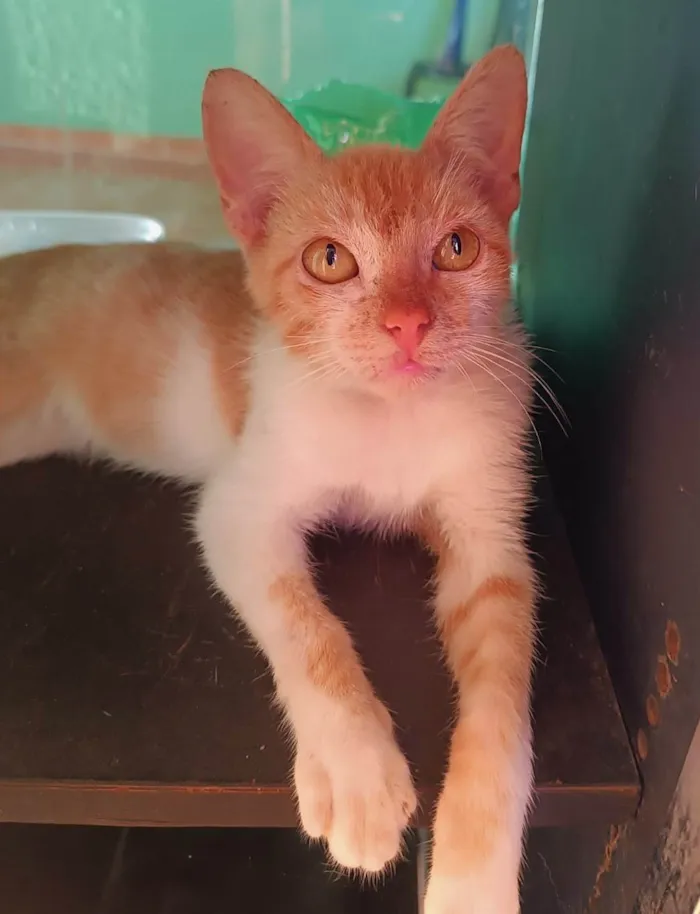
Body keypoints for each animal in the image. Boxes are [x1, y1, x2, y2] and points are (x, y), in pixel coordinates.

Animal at [0, 46, 536, 913]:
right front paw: (356, 772)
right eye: (330, 260)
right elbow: (306, 626)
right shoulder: (238, 509)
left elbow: (501, 701)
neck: (389, 421)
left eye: (456, 249)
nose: (408, 325)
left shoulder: (490, 545)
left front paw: (473, 879)